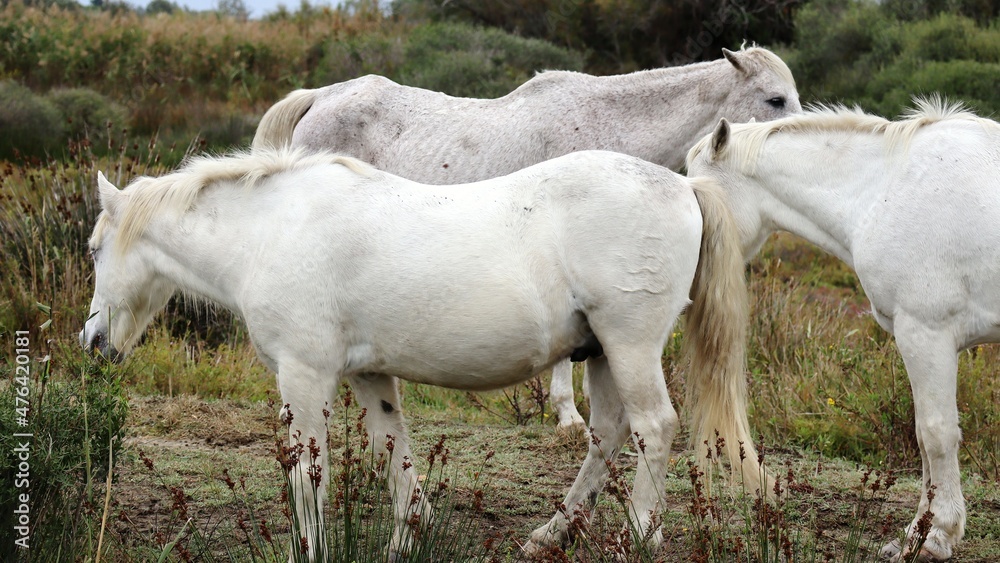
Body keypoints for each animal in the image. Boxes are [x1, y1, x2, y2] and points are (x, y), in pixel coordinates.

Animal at [80, 148, 761, 559]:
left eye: (93, 248)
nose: (93, 342)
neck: (275, 231)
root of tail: (684, 185)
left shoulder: (305, 377)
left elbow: (307, 475)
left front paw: (312, 546)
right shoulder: (368, 374)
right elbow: (394, 454)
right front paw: (409, 535)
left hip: (630, 344)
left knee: (654, 427)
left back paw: (640, 537)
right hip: (599, 352)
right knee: (610, 432)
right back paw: (550, 534)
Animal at [686, 98, 1000, 562]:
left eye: (697, 194)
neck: (885, 188)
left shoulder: (926, 334)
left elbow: (936, 433)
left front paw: (934, 535)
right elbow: (924, 438)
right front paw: (921, 529)